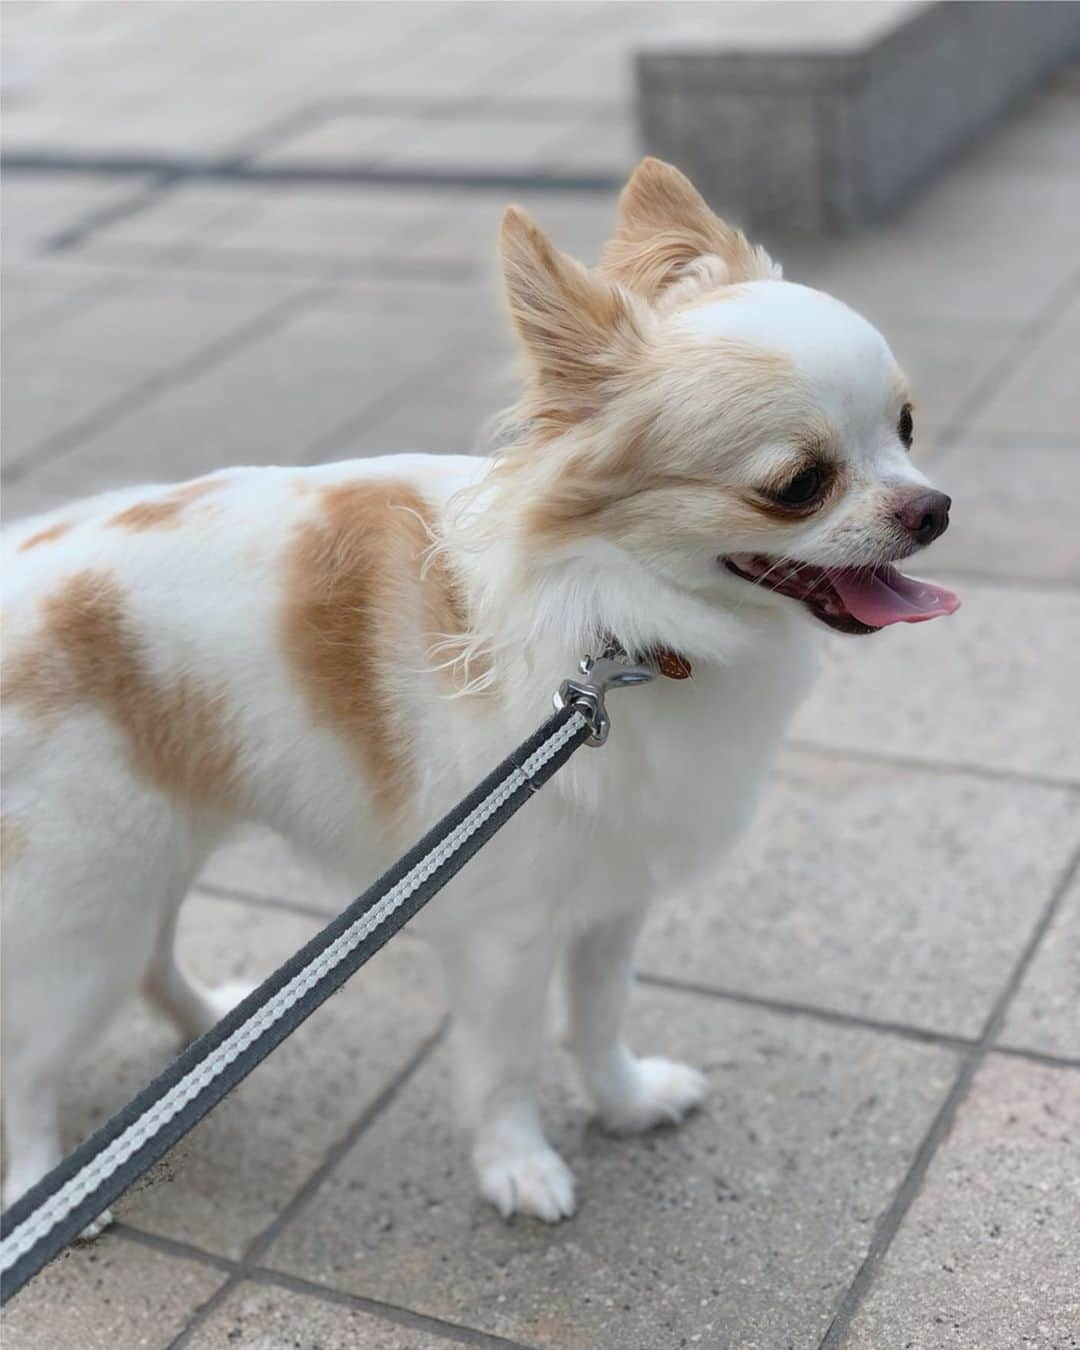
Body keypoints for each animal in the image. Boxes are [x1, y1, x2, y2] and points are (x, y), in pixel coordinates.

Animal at [2, 157, 961, 1225]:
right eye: (798, 484)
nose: (932, 509)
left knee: (155, 962)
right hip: (78, 910)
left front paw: (624, 1103)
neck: (623, 630)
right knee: (28, 1069)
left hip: (142, 869)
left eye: (906, 428)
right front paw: (518, 1165)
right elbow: (506, 1063)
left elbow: (597, 1017)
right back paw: (48, 1184)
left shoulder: (610, 896)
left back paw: (210, 1028)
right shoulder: (509, 929)